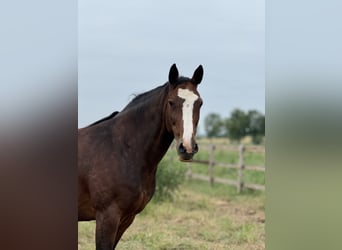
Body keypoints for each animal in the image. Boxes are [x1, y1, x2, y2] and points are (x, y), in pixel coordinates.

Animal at [78, 64, 203, 248]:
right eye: (171, 102)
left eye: (199, 103)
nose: (187, 148)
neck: (122, 149)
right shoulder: (107, 217)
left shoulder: (126, 219)